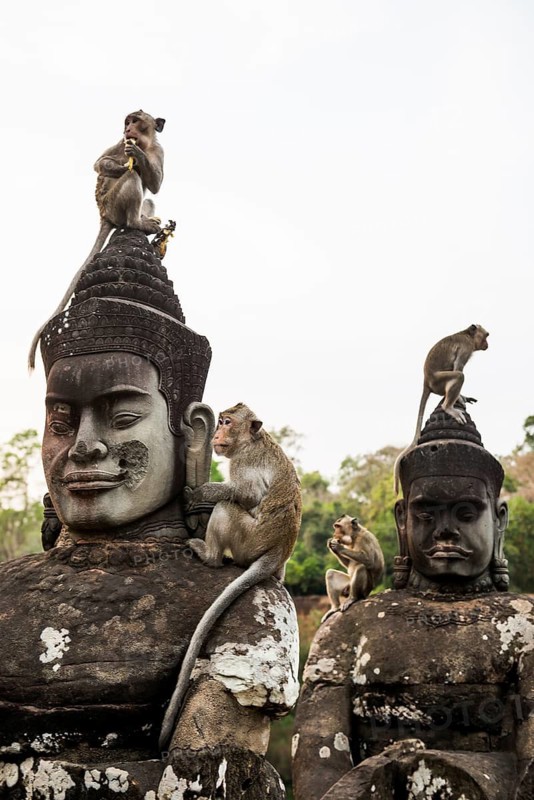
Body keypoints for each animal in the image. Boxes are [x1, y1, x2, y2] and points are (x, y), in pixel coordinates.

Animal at [28, 110, 165, 370]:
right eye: (128, 121)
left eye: (135, 120)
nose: (128, 128)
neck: (144, 142)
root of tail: (104, 215)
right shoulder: (120, 143)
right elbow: (101, 164)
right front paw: (128, 160)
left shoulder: (159, 150)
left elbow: (155, 185)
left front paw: (139, 156)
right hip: (113, 204)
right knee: (131, 176)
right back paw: (135, 221)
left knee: (148, 197)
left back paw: (143, 222)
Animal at [158, 402, 302, 749]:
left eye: (227, 422)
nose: (217, 434)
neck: (252, 441)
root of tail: (277, 551)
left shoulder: (244, 464)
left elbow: (247, 495)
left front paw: (198, 493)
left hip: (246, 540)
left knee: (226, 505)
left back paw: (208, 554)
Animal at [393, 324, 489, 494]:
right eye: (486, 336)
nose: (487, 344)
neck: (467, 335)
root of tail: (426, 382)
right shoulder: (466, 348)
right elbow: (458, 368)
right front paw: (459, 397)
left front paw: (463, 397)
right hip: (438, 381)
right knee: (458, 376)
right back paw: (448, 407)